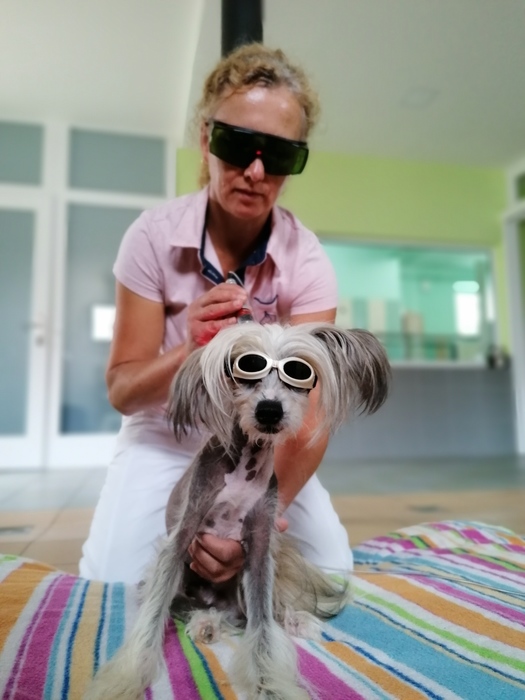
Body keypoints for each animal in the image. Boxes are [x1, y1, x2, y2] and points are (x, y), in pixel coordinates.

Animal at [85, 322, 390, 700]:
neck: (246, 464)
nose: (269, 410)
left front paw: (271, 685)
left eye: (298, 372)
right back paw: (206, 622)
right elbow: (152, 618)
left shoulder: (259, 552)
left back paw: (292, 619)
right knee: (189, 606)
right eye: (246, 369)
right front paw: (122, 681)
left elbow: (262, 631)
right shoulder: (180, 541)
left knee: (260, 614)